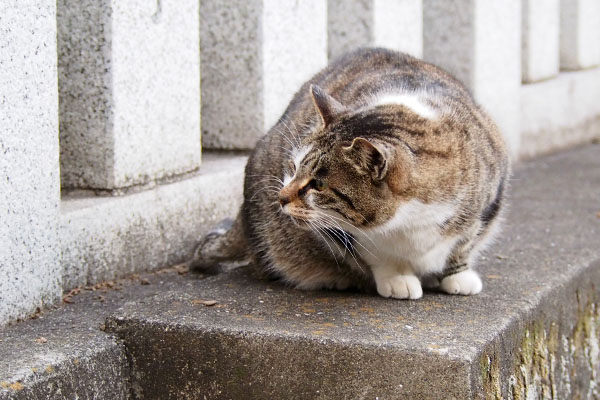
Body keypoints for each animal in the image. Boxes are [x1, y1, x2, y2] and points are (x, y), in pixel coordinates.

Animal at [193, 48, 510, 298]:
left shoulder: (489, 201)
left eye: (318, 184)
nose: (280, 198)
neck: (408, 221)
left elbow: (464, 243)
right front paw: (397, 279)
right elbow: (377, 254)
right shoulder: (341, 232)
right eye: (293, 168)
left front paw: (458, 275)